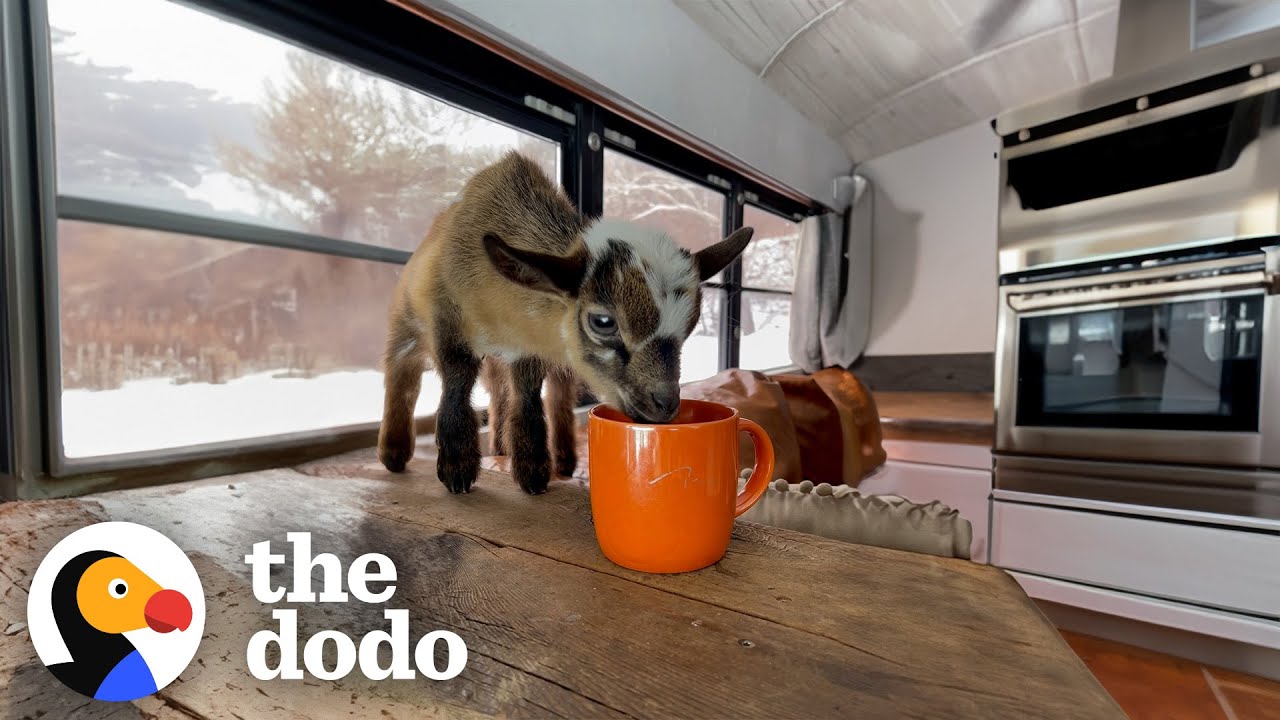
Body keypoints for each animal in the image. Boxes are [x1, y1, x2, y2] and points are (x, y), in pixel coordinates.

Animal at [377, 151, 752, 495]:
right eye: (603, 321)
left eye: (690, 325)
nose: (665, 405)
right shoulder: (446, 318)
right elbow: (457, 379)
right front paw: (457, 468)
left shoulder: (527, 345)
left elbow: (527, 395)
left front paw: (532, 472)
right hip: (406, 323)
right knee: (403, 374)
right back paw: (394, 453)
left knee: (545, 397)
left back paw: (550, 459)